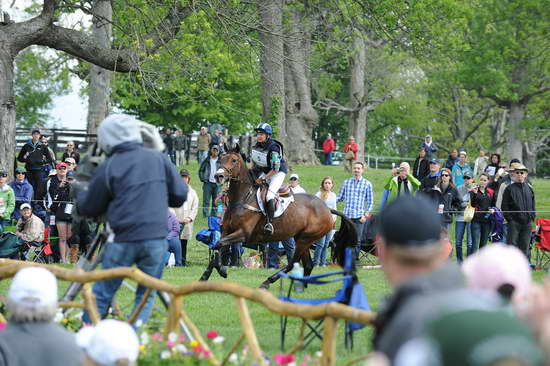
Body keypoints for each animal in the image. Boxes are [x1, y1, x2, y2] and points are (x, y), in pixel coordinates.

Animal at [203, 143, 358, 288]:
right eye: (221, 159)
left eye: (234, 160)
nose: (218, 176)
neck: (242, 198)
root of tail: (327, 209)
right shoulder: (226, 231)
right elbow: (217, 246)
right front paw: (208, 275)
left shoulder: (243, 234)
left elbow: (219, 245)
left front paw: (221, 270)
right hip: (301, 238)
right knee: (308, 264)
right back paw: (301, 286)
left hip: (305, 239)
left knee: (293, 262)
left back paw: (268, 282)